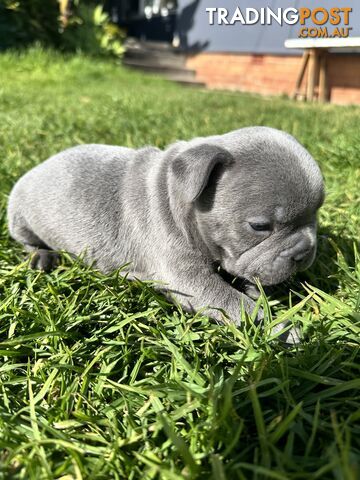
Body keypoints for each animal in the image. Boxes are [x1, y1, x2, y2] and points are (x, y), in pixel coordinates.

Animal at [7, 125, 324, 340]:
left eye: (317, 213)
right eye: (259, 226)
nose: (304, 251)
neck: (176, 195)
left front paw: (262, 297)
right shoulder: (188, 279)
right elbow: (235, 303)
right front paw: (281, 329)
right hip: (19, 215)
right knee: (27, 240)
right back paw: (41, 257)